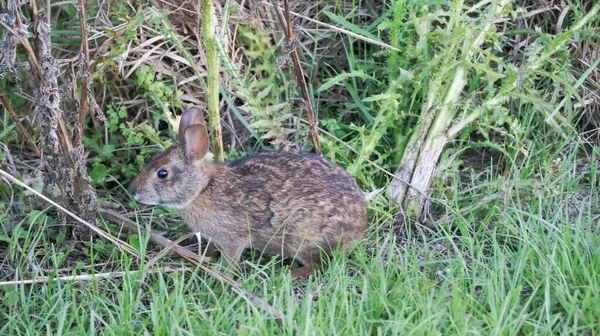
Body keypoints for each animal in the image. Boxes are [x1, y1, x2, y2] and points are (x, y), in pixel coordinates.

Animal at [129, 107, 368, 278]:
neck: (202, 189)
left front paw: (220, 274)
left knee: (319, 265)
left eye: (162, 173)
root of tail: (360, 226)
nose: (133, 192)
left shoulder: (233, 238)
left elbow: (231, 260)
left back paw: (288, 274)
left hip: (305, 238)